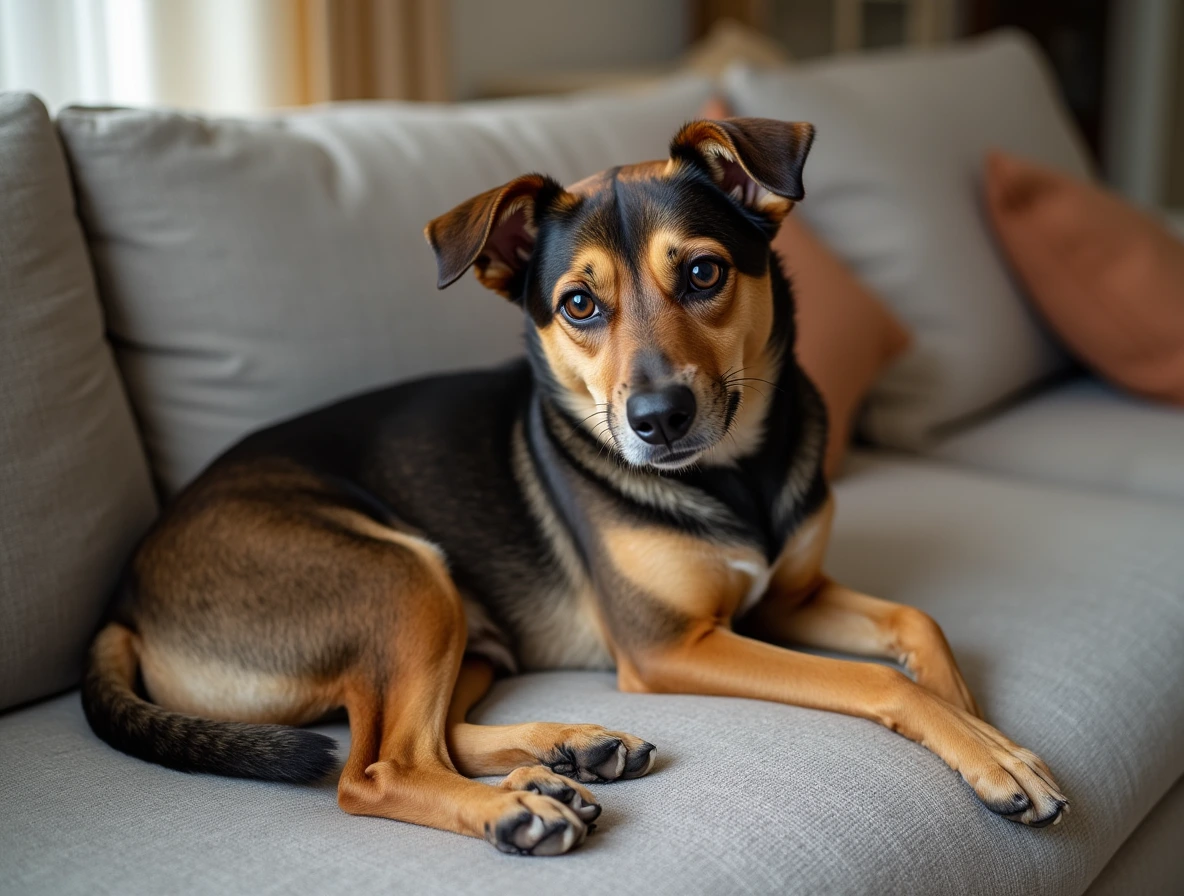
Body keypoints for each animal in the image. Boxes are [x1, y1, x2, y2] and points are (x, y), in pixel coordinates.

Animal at [81, 117, 1065, 852]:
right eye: (578, 306)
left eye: (703, 272)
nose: (658, 418)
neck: (733, 474)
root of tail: (124, 597)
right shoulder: (673, 646)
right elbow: (877, 683)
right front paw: (989, 752)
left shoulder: (791, 596)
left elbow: (919, 624)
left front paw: (986, 727)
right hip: (402, 577)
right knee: (375, 768)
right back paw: (518, 808)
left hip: (464, 628)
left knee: (428, 736)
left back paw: (571, 752)